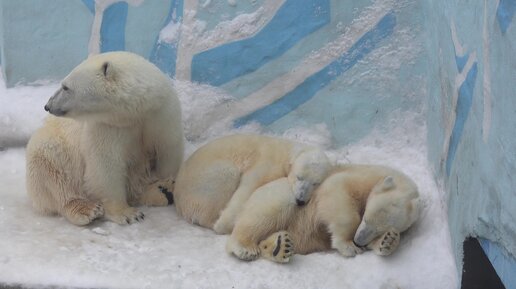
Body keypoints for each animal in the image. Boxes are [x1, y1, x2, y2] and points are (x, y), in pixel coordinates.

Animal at [26, 50, 184, 224]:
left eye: (65, 87)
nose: (48, 105)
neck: (137, 111)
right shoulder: (107, 127)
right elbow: (105, 165)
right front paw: (128, 214)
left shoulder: (161, 115)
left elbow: (167, 152)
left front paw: (167, 183)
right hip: (55, 148)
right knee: (54, 171)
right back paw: (86, 209)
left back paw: (159, 191)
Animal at [173, 134, 332, 233]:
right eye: (299, 177)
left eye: (316, 183)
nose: (300, 200)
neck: (287, 152)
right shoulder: (267, 161)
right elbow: (249, 185)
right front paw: (223, 225)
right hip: (203, 180)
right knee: (226, 174)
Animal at [226, 164, 420, 260]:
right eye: (365, 218)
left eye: (378, 231)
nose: (358, 240)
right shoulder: (359, 178)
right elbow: (336, 190)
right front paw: (349, 246)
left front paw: (388, 240)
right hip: (280, 195)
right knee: (264, 214)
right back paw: (245, 247)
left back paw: (280, 246)